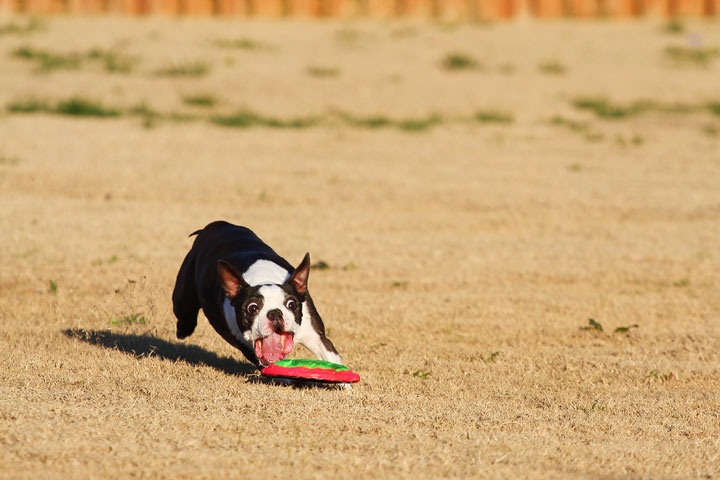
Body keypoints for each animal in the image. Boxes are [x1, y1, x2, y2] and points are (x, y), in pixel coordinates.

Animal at [174, 221, 344, 368]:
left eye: (291, 304)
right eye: (252, 308)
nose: (275, 313)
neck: (265, 278)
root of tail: (214, 225)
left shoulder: (318, 338)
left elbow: (334, 361)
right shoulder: (249, 348)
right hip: (183, 298)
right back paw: (183, 330)